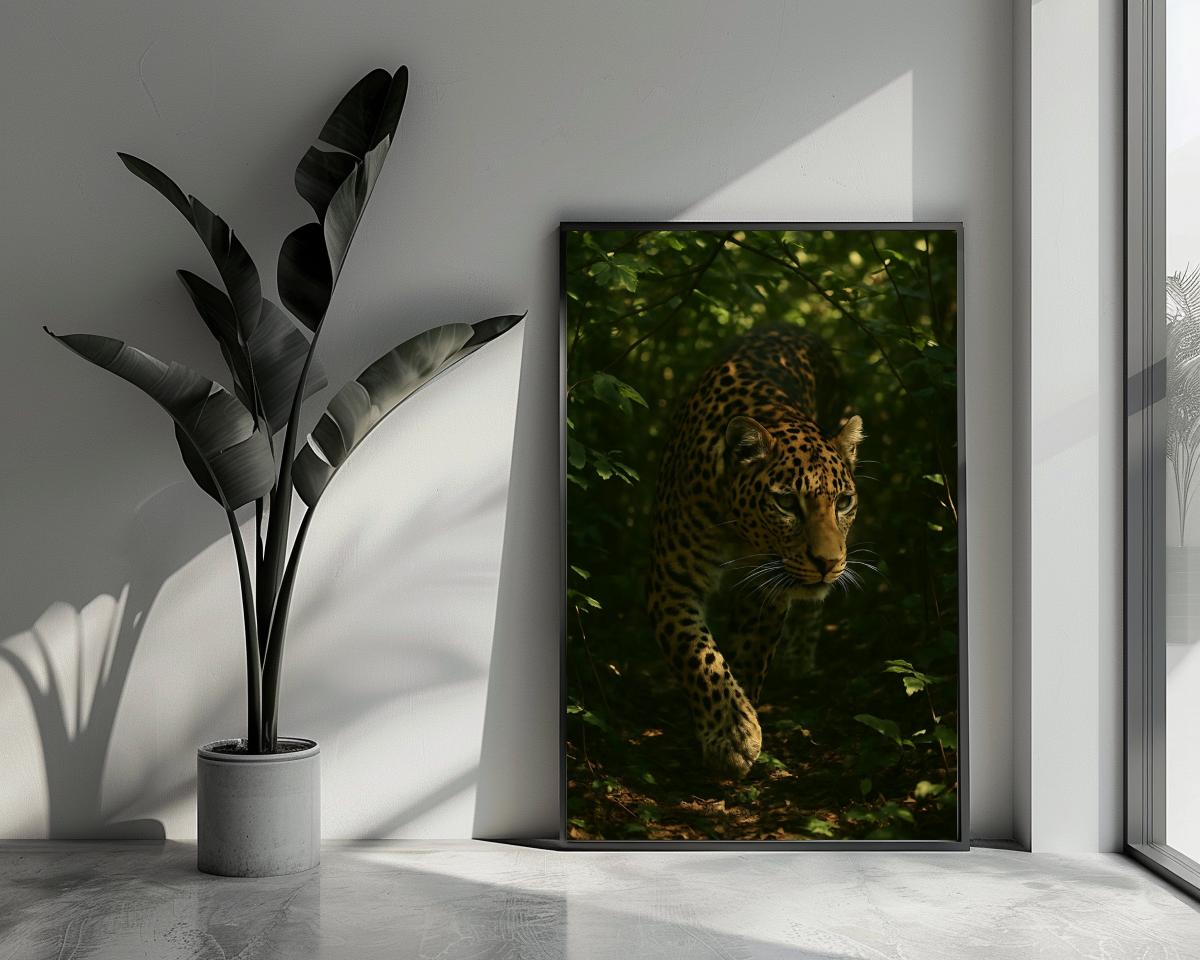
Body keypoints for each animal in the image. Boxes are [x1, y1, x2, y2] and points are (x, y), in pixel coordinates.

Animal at [648, 325, 864, 779]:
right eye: (786, 503)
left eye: (843, 502)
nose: (828, 563)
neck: (741, 532)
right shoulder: (670, 580)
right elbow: (699, 655)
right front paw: (732, 732)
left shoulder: (768, 589)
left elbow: (749, 656)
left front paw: (737, 722)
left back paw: (800, 661)